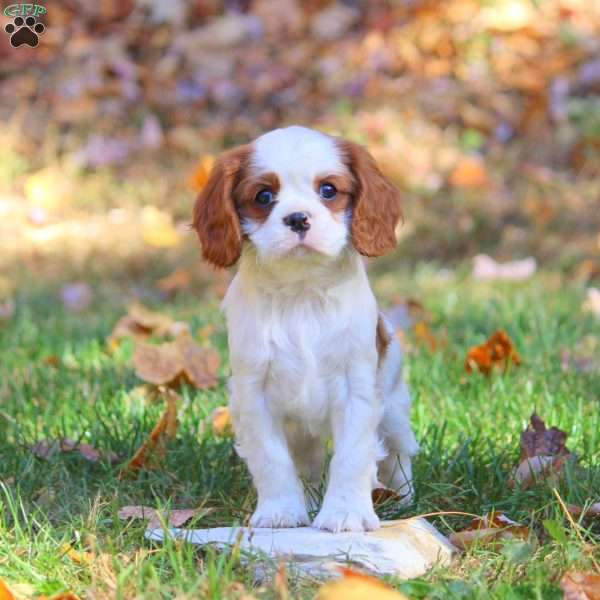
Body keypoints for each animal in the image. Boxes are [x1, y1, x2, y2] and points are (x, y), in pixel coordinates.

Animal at [192, 125, 418, 528]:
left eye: (328, 190)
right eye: (264, 196)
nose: (298, 218)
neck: (301, 291)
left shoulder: (358, 391)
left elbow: (351, 457)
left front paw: (346, 514)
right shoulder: (255, 394)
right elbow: (273, 459)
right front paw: (281, 512)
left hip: (392, 404)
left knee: (398, 452)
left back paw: (401, 500)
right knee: (308, 463)